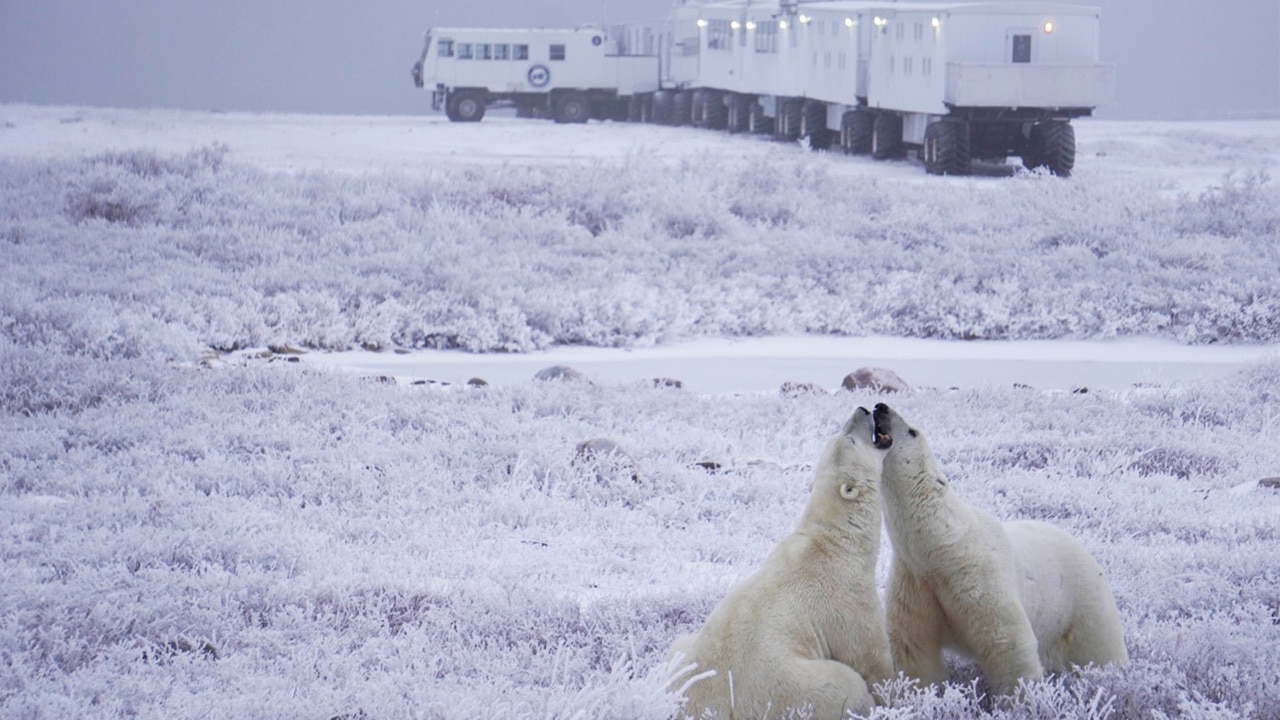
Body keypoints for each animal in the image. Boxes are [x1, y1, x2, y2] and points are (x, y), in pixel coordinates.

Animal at [665, 407, 896, 712]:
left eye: (841, 432)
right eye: (850, 439)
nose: (863, 409)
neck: (835, 541)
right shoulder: (848, 597)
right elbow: (872, 658)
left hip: (683, 657)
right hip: (790, 687)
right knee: (845, 684)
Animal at [870, 399, 1131, 691]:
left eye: (912, 431)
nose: (880, 406)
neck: (941, 546)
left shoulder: (978, 575)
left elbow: (1007, 643)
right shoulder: (915, 582)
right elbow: (913, 649)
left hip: (1083, 605)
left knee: (1099, 650)